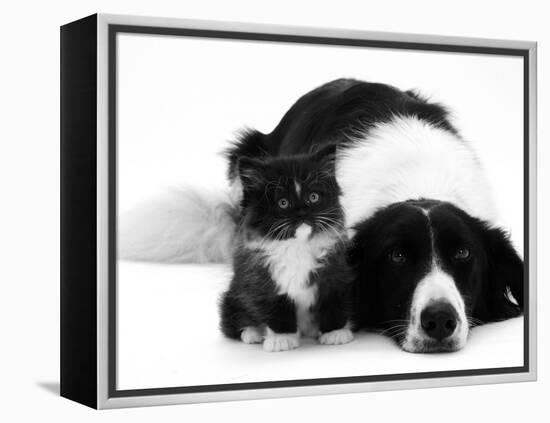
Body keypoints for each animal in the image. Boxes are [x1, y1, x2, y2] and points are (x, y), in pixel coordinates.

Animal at [219, 147, 354, 352]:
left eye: (313, 197)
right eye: (283, 203)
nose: (303, 213)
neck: (297, 246)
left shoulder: (335, 272)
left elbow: (332, 302)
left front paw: (335, 332)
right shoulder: (261, 280)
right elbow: (276, 308)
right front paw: (281, 339)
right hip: (233, 294)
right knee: (233, 321)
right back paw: (253, 333)